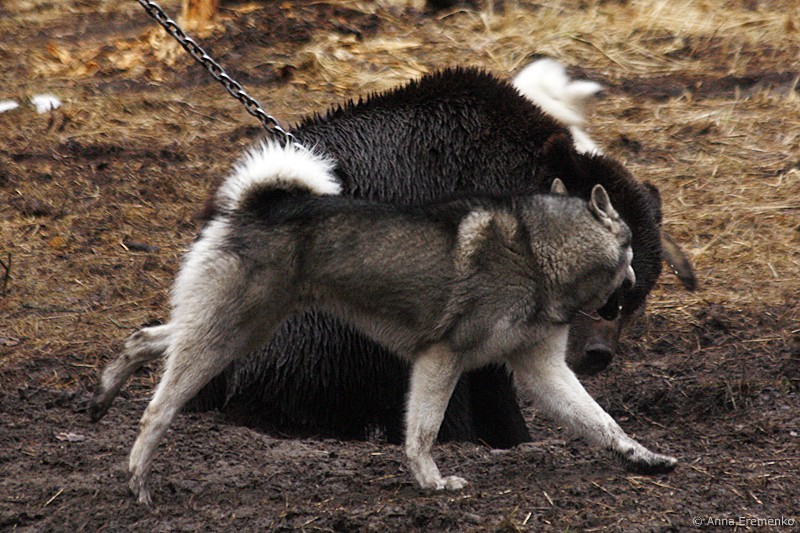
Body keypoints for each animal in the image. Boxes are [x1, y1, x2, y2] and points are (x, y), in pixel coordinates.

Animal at [91, 142, 677, 504]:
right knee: (156, 409)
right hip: (224, 338)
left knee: (146, 337)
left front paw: (643, 457)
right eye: (631, 239)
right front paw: (431, 483)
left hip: (239, 332)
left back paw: (103, 393)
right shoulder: (441, 358)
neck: (541, 252)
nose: (634, 283)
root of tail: (258, 205)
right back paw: (138, 477)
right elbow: (422, 432)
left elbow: (603, 422)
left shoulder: (542, 370)